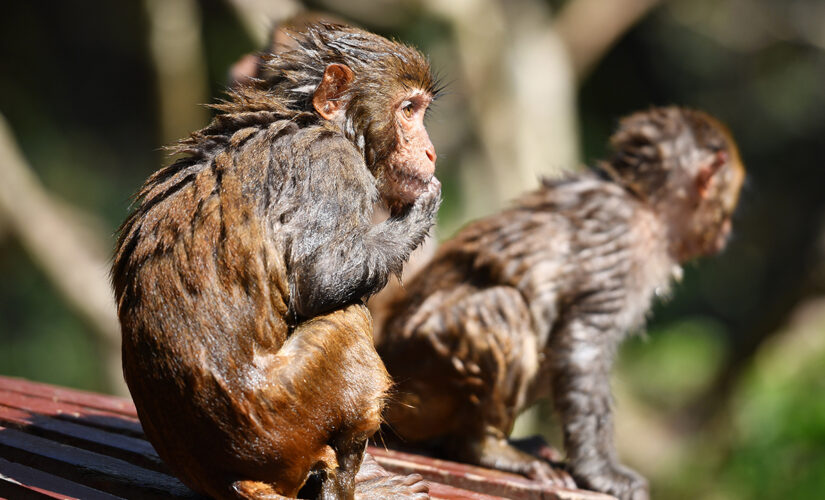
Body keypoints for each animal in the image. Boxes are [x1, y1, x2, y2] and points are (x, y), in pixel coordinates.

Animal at [114, 24, 444, 500]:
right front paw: (423, 206)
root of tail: (230, 479)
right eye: (408, 110)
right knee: (347, 317)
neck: (311, 117)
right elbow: (322, 280)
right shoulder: (327, 163)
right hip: (287, 416)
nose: (431, 152)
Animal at [376, 106, 744, 500]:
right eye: (728, 203)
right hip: (412, 397)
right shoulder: (620, 237)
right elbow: (583, 344)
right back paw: (485, 448)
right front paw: (602, 474)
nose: (727, 230)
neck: (642, 202)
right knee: (504, 307)